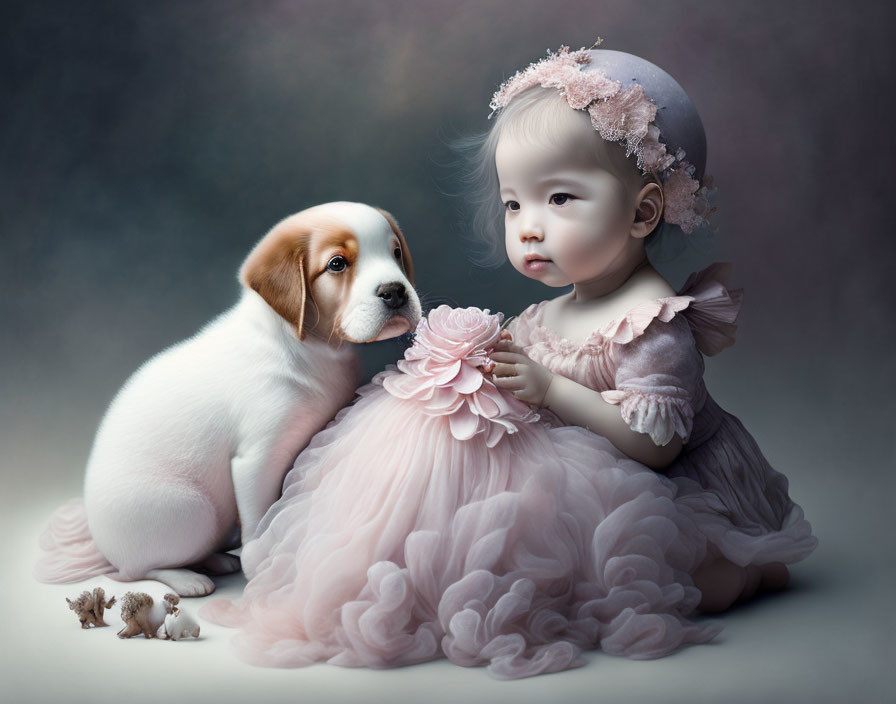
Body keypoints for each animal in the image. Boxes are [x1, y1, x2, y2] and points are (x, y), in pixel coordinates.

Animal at [37, 201, 420, 596]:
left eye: (395, 253)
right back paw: (188, 578)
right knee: (140, 569)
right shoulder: (257, 460)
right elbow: (259, 517)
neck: (307, 346)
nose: (395, 291)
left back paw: (218, 560)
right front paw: (259, 563)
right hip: (194, 512)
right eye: (337, 264)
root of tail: (102, 545)